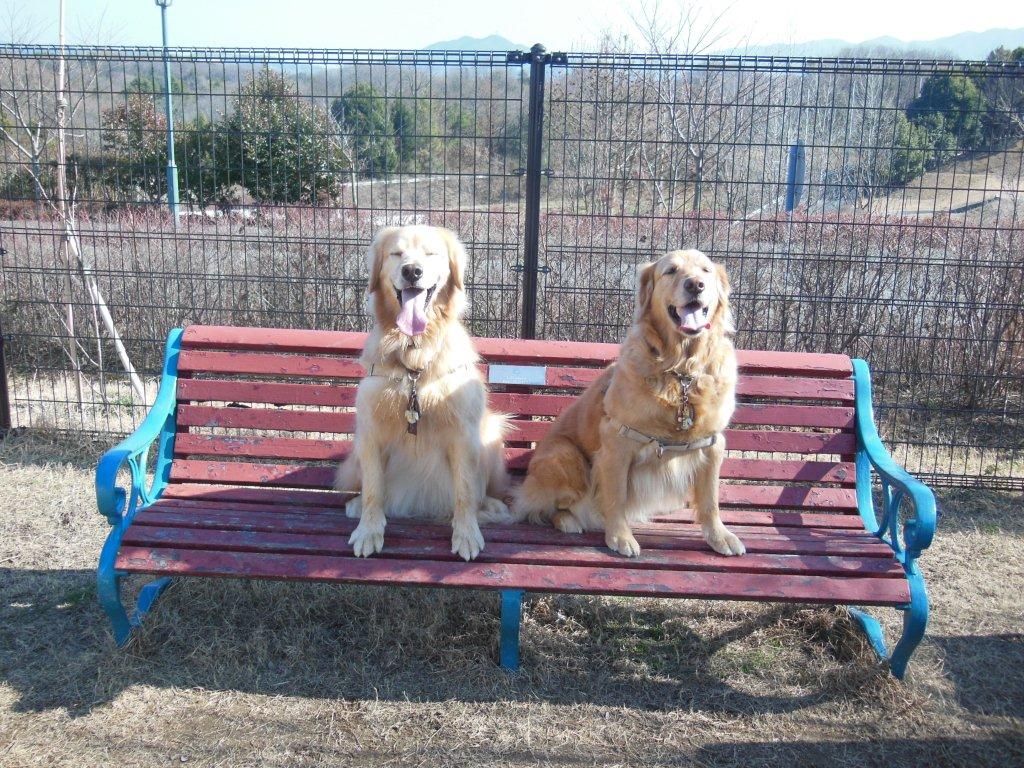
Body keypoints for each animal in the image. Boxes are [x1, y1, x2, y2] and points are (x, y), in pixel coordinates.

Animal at [335, 225, 511, 561]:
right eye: (396, 253)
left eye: (431, 254)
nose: (412, 271)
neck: (414, 355)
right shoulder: (370, 430)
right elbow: (374, 490)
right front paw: (369, 531)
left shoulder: (464, 433)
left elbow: (465, 492)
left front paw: (466, 534)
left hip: (493, 436)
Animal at [513, 248, 745, 558]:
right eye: (670, 270)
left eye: (706, 270)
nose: (695, 285)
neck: (681, 372)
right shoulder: (617, 442)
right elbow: (617, 497)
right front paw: (620, 536)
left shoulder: (712, 444)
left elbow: (710, 500)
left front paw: (720, 536)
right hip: (565, 454)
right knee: (546, 508)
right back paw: (569, 521)